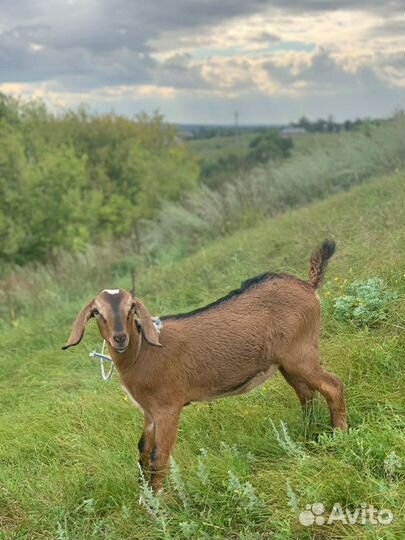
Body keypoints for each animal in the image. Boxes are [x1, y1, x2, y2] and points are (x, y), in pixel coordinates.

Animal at [64, 240, 348, 490]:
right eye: (97, 312)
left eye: (131, 307)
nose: (120, 337)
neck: (141, 352)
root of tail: (308, 285)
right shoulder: (149, 412)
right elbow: (142, 450)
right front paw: (144, 498)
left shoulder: (167, 406)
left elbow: (158, 456)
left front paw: (159, 508)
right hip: (287, 362)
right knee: (306, 393)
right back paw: (307, 433)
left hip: (301, 353)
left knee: (333, 385)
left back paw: (340, 436)